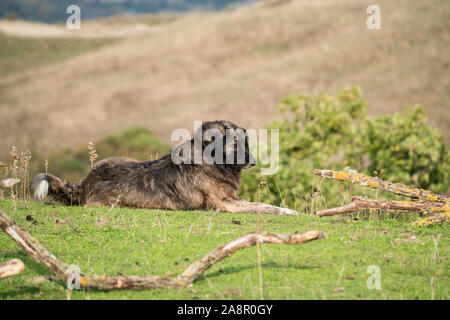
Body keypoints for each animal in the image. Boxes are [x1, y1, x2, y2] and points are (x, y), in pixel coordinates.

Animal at [31, 121, 298, 216]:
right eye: (236, 145)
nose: (253, 161)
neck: (209, 160)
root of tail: (86, 182)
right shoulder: (227, 203)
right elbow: (263, 206)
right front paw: (288, 211)